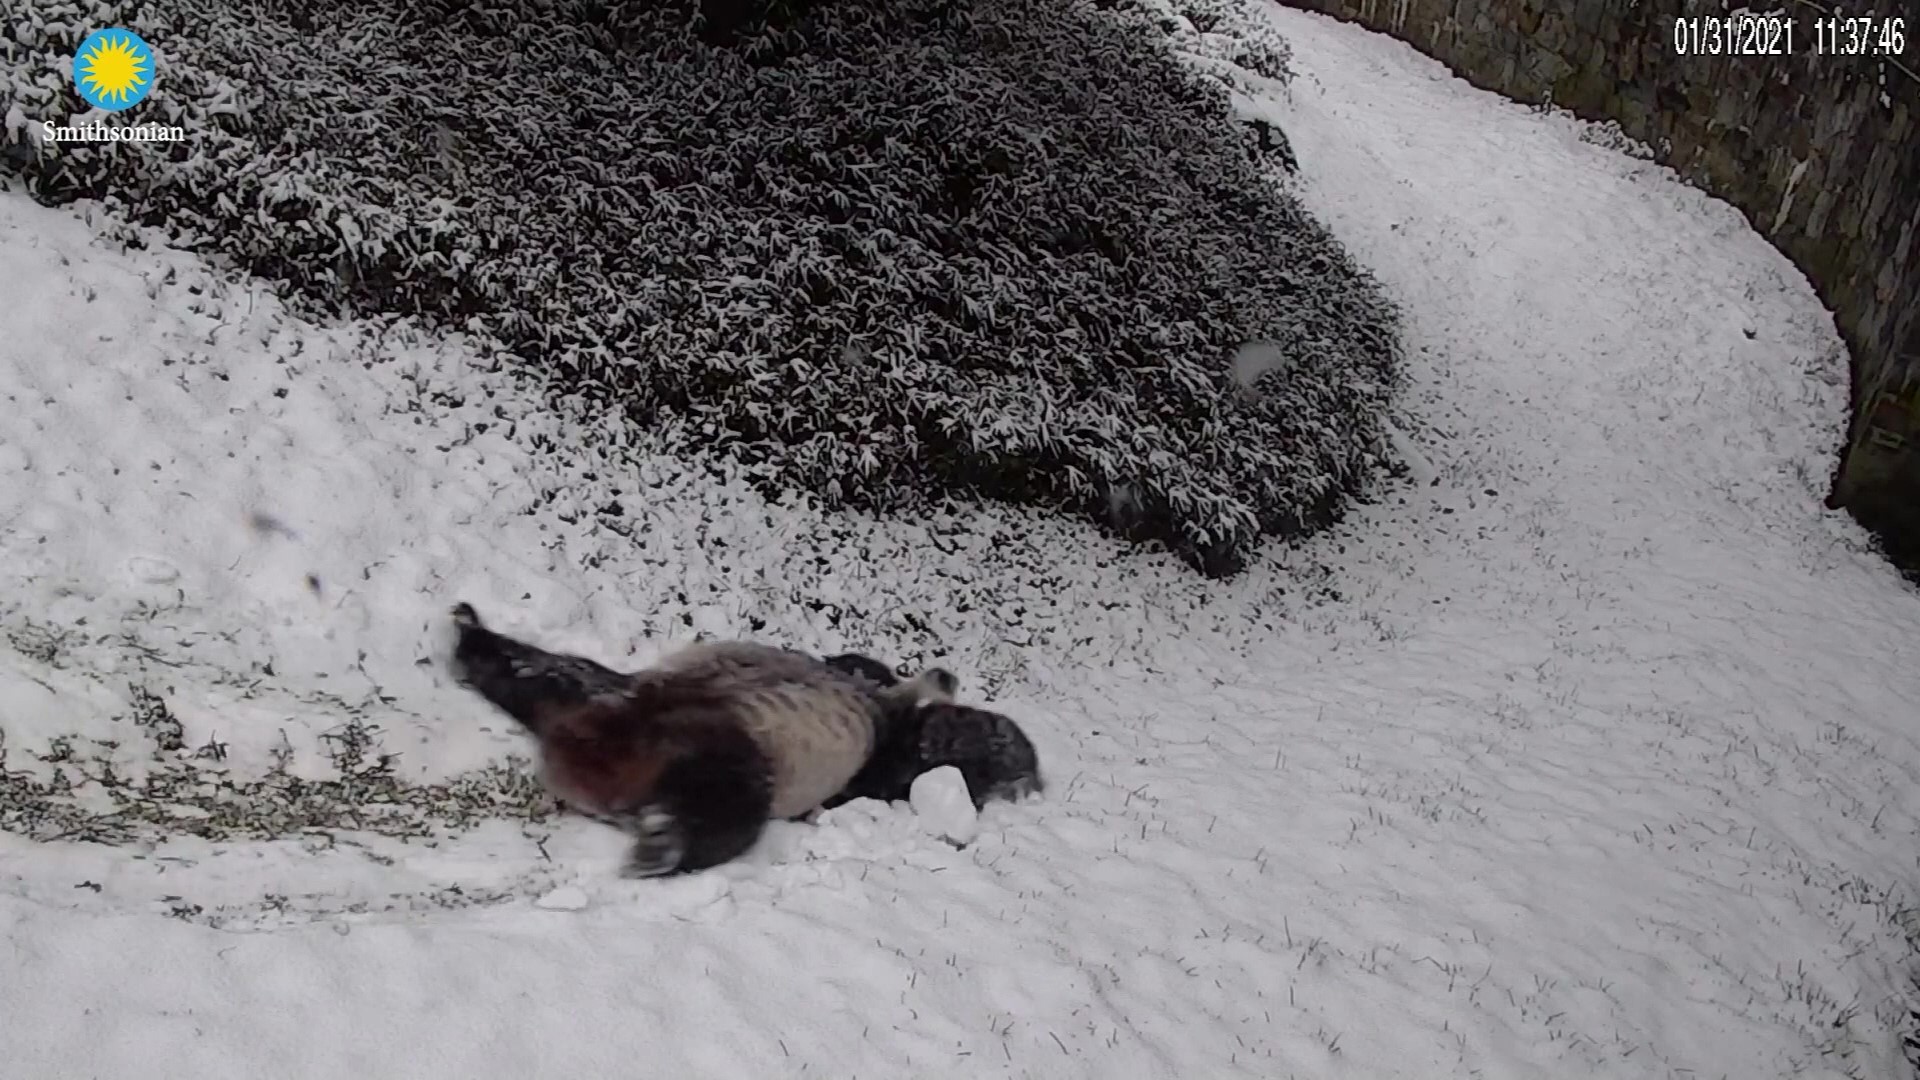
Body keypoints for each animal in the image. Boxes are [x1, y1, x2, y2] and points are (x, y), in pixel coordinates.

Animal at [445, 603, 951, 878]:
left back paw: (468, 633)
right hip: (738, 746)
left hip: (600, 691)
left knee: (544, 673)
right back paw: (664, 845)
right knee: (731, 810)